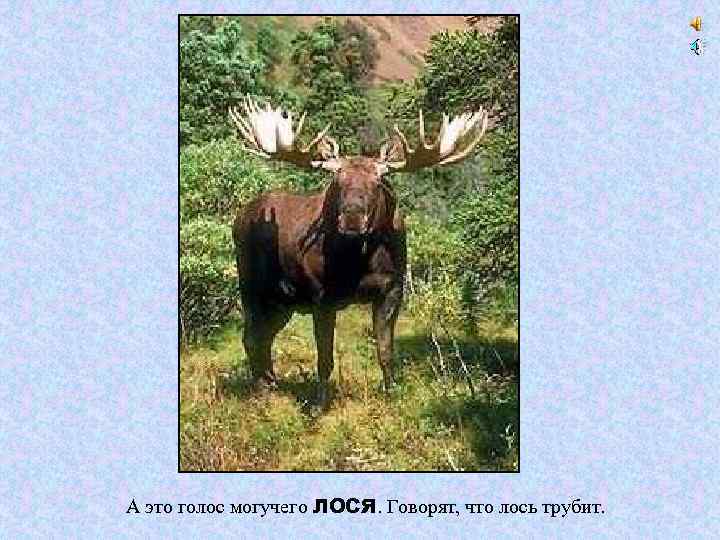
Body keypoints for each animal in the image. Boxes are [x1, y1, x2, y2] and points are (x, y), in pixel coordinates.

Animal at [229, 97, 488, 406]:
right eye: (337, 181)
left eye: (377, 183)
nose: (352, 217)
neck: (362, 261)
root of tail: (239, 216)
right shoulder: (321, 296)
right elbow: (325, 359)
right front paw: (318, 404)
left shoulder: (392, 289)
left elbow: (385, 352)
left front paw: (391, 394)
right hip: (251, 285)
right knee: (251, 336)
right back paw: (260, 388)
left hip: (284, 301)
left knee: (264, 336)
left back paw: (270, 382)